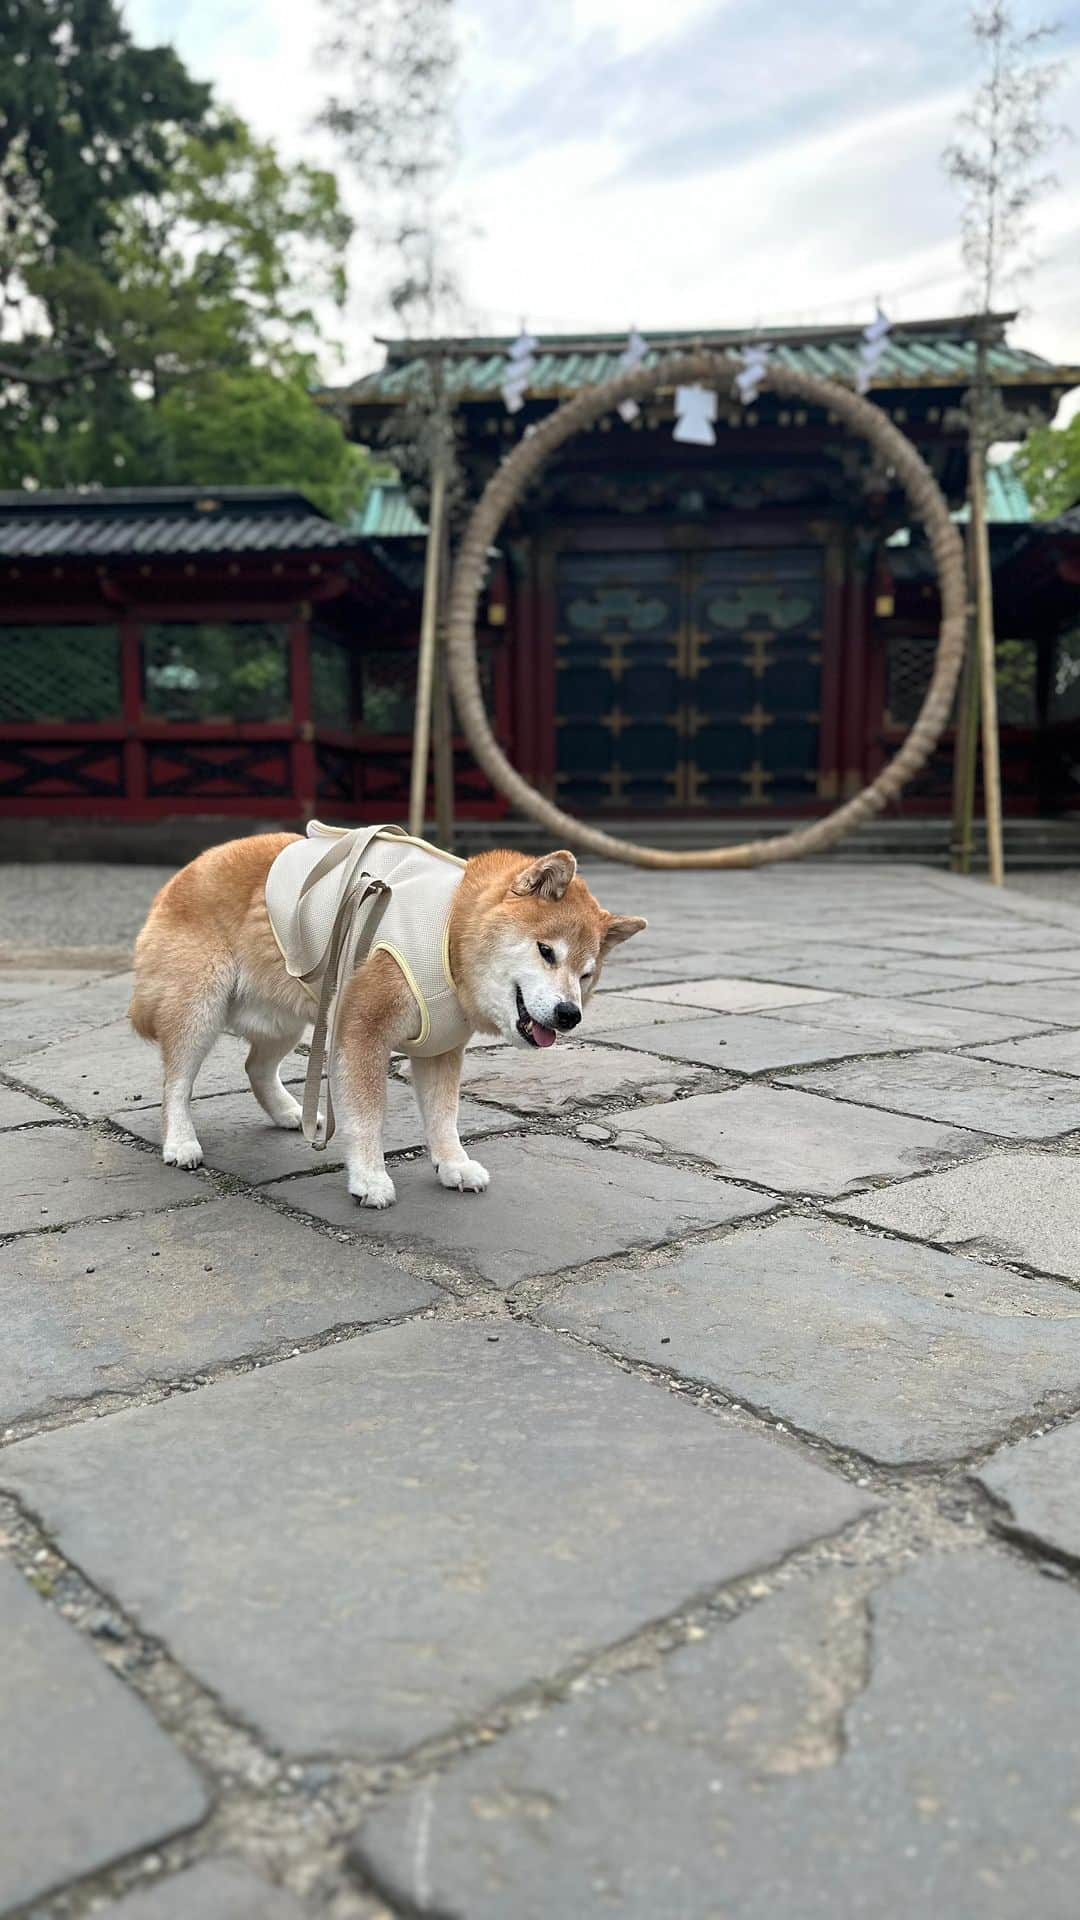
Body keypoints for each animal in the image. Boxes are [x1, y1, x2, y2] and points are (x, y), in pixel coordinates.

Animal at [130, 833, 641, 1205]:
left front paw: (452, 1163)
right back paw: (180, 1142)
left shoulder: (440, 1047)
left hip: (287, 1020)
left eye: (586, 975)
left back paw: (290, 1112)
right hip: (202, 1004)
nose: (569, 1014)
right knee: (176, 1083)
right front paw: (370, 1177)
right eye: (546, 951)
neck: (449, 934)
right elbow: (366, 1116)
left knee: (255, 1067)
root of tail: (178, 876)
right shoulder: (362, 1033)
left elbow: (443, 1116)